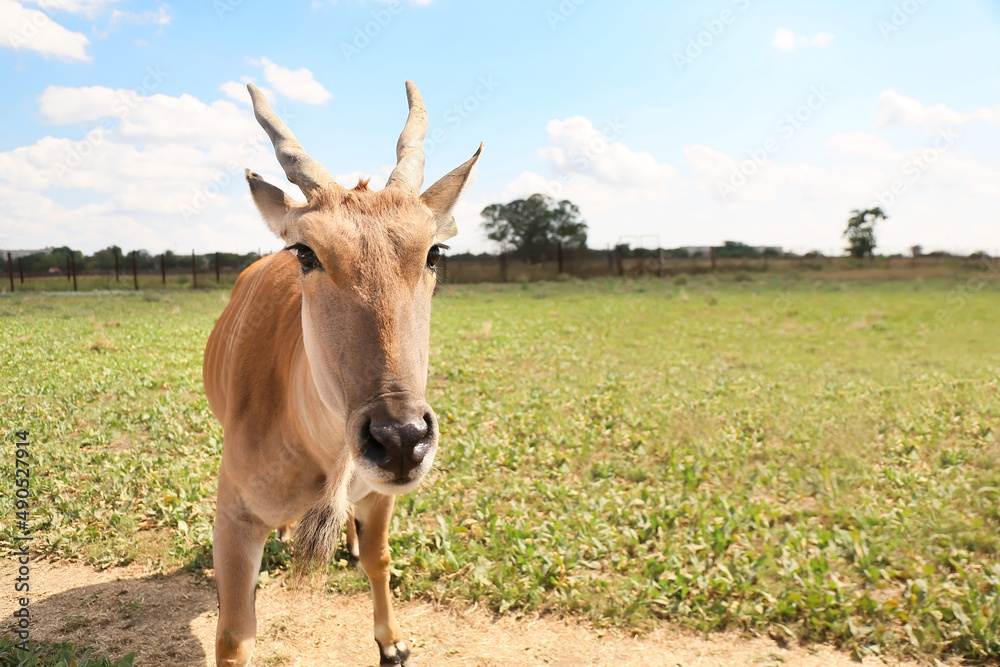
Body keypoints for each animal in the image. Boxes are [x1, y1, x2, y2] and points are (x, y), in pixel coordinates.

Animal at [201, 82, 482, 667]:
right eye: (306, 252)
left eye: (434, 251)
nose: (401, 439)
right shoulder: (233, 520)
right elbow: (234, 636)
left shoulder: (380, 494)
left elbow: (380, 560)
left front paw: (392, 643)